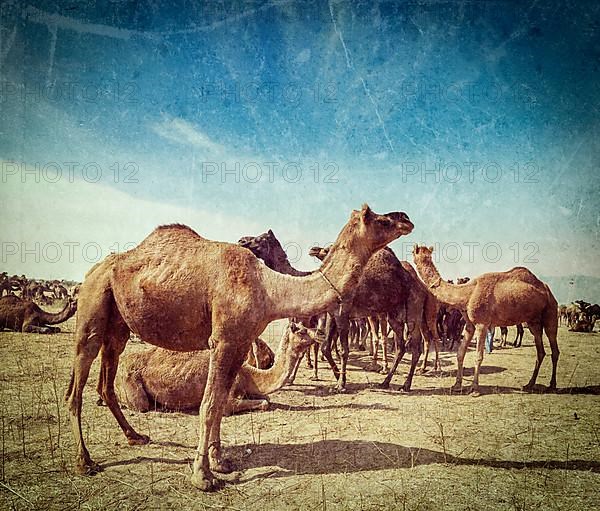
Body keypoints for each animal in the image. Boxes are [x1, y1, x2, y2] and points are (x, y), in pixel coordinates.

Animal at [114, 324, 316, 416]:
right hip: (132, 387)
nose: (319, 333)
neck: (248, 374)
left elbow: (267, 398)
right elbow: (264, 403)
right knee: (141, 405)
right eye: (302, 331)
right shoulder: (228, 400)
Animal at [412, 245, 556, 396]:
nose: (416, 257)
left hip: (551, 311)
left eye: (415, 252)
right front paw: (457, 385)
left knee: (554, 347)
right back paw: (529, 384)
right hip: (533, 321)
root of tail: (547, 289)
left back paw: (551, 385)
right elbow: (460, 353)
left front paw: (474, 388)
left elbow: (478, 356)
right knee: (540, 351)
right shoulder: (470, 325)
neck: (467, 293)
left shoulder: (482, 324)